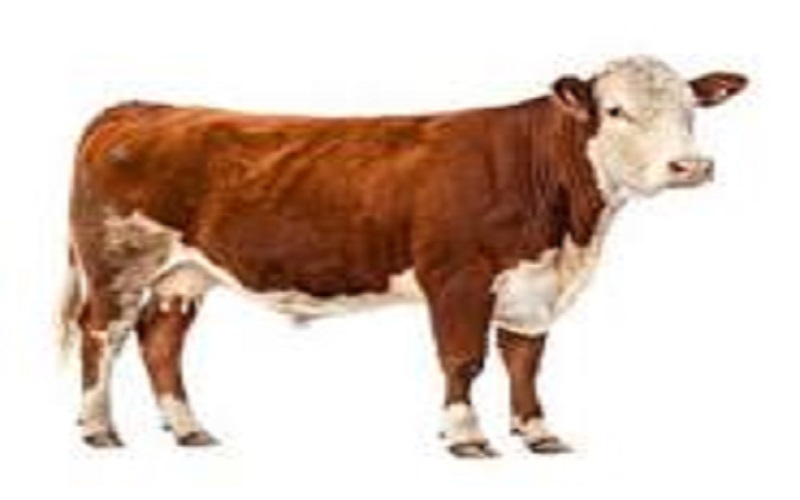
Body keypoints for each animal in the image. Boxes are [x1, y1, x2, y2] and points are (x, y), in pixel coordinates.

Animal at [60, 56, 746, 457]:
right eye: (616, 110)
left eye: (691, 109)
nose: (691, 166)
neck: (569, 233)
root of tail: (139, 107)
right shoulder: (458, 279)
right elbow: (464, 359)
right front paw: (466, 436)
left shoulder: (532, 286)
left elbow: (526, 360)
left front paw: (537, 432)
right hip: (118, 264)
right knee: (101, 335)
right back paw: (98, 429)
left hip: (184, 274)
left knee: (161, 342)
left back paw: (189, 429)